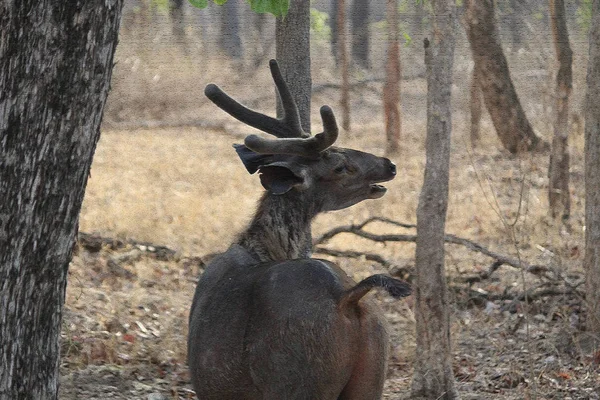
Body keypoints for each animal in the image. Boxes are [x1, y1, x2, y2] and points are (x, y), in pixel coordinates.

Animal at [189, 60, 412, 400]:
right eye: (340, 165)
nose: (390, 165)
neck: (265, 246)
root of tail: (347, 297)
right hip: (371, 372)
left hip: (297, 381)